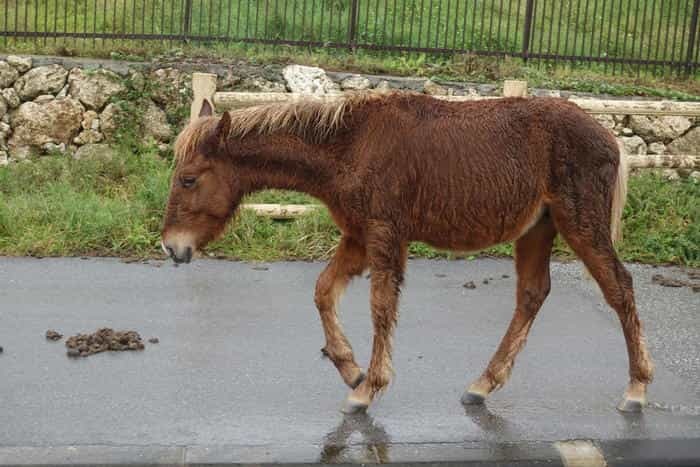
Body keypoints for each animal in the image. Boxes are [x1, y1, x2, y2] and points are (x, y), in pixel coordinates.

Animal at [161, 91, 652, 414]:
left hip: (580, 225)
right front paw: (350, 368)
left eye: (188, 179)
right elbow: (323, 291)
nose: (171, 246)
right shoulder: (358, 237)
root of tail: (610, 138)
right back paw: (482, 384)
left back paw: (637, 389)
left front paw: (367, 389)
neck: (350, 146)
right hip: (538, 229)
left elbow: (381, 307)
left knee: (619, 288)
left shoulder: (383, 236)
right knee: (532, 294)